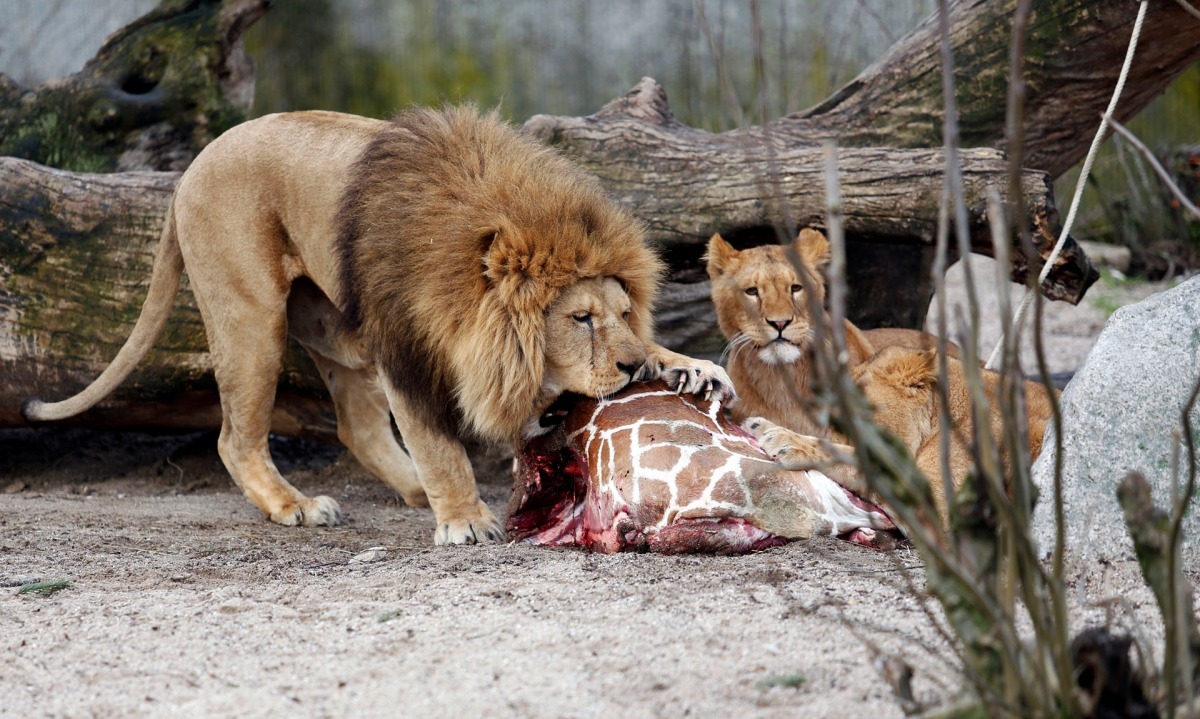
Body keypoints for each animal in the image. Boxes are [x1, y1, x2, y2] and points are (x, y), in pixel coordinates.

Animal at [23, 105, 724, 544]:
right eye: (579, 318)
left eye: (625, 312)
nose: (631, 367)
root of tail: (187, 172)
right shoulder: (406, 349)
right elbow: (440, 444)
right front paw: (465, 519)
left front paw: (690, 367)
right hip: (253, 319)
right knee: (235, 438)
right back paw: (298, 506)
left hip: (336, 328)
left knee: (354, 425)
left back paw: (409, 489)